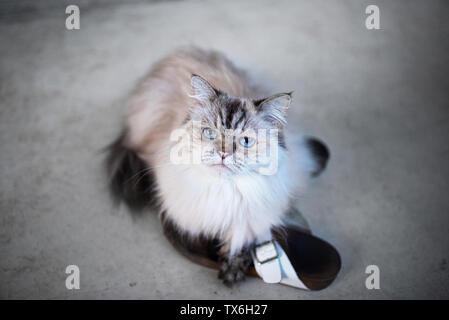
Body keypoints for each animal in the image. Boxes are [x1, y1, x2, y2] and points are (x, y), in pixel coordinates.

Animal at [105, 47, 328, 284]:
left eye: (245, 141)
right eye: (210, 134)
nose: (222, 154)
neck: (224, 191)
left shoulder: (253, 217)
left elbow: (244, 241)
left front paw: (232, 269)